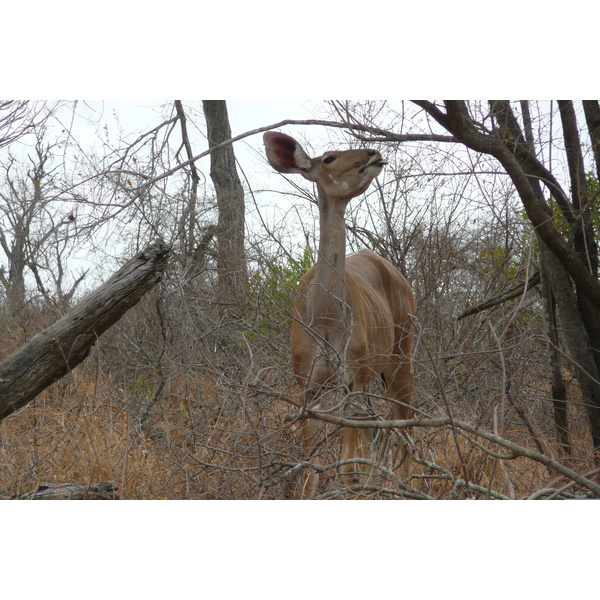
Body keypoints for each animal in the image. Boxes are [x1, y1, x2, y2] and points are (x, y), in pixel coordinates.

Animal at [264, 131, 414, 496]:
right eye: (329, 158)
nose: (373, 153)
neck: (326, 318)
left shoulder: (351, 379)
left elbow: (346, 466)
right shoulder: (308, 384)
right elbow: (312, 468)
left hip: (400, 358)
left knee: (406, 426)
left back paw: (405, 487)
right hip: (376, 377)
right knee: (379, 429)